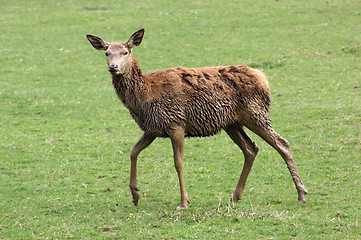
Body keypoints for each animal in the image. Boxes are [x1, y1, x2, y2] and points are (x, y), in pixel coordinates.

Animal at [86, 28, 306, 210]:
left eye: (126, 52)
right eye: (106, 52)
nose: (113, 67)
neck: (144, 96)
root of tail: (264, 79)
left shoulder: (176, 122)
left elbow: (178, 162)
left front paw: (184, 202)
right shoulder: (153, 128)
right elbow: (133, 152)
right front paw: (135, 195)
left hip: (255, 112)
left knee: (282, 143)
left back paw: (301, 194)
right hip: (232, 123)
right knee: (251, 149)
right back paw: (235, 196)